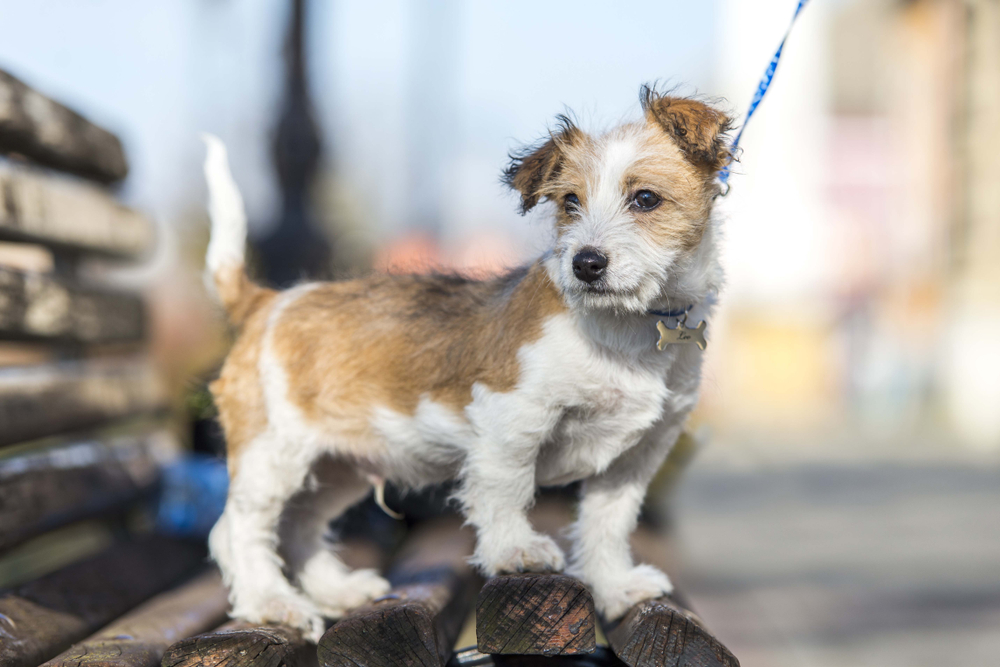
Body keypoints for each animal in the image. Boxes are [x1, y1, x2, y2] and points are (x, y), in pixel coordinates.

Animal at [205, 86, 736, 640]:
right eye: (571, 202)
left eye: (646, 199)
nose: (586, 264)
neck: (628, 325)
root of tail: (268, 303)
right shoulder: (513, 418)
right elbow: (507, 489)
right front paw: (515, 550)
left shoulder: (634, 458)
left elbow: (607, 524)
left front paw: (614, 587)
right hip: (273, 454)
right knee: (239, 529)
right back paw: (270, 602)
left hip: (339, 465)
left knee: (299, 525)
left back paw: (337, 590)